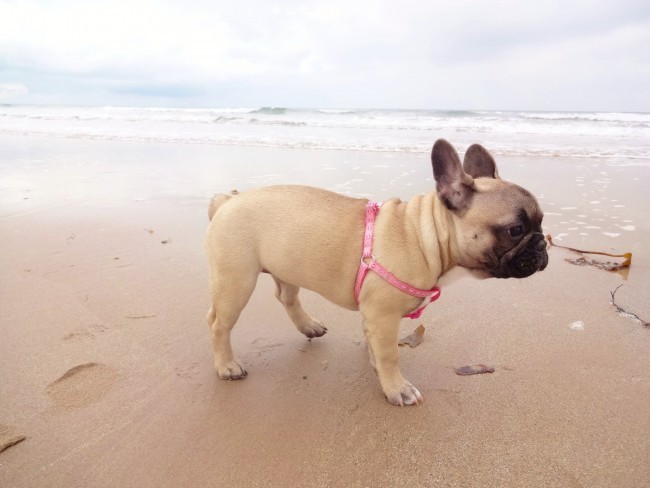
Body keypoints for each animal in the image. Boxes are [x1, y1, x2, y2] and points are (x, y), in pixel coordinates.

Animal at [204, 139, 548, 406]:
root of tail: (226, 201)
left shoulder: (373, 315)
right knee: (219, 324)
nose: (544, 244)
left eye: (541, 221)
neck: (424, 236)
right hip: (237, 281)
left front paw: (377, 370)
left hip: (286, 266)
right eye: (515, 230)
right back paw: (227, 366)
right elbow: (389, 354)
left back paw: (308, 326)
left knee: (287, 297)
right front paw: (397, 388)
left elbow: (375, 348)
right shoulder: (383, 316)